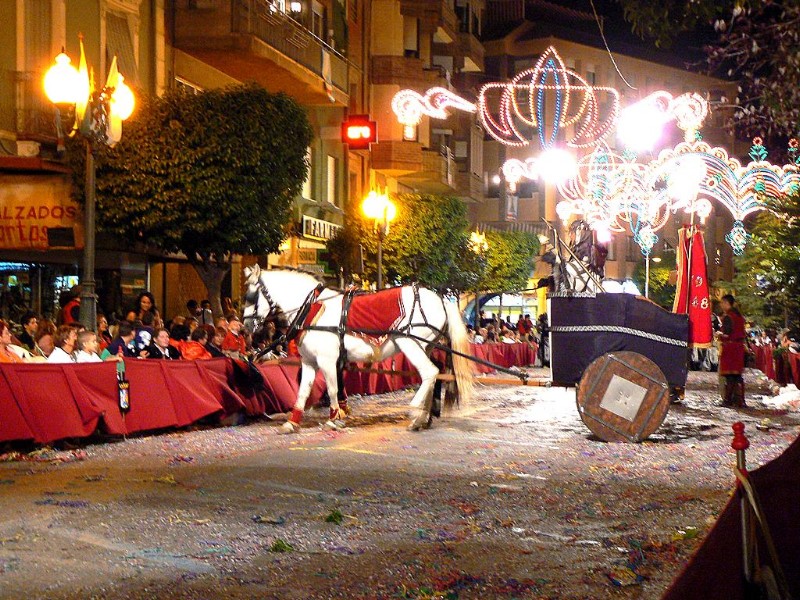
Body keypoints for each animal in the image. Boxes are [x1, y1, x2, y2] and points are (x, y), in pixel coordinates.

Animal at [242, 265, 474, 433]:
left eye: (251, 296)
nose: (245, 326)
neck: (312, 308)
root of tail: (441, 299)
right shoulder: (309, 361)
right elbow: (303, 392)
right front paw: (292, 422)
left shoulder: (327, 360)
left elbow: (332, 389)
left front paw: (334, 418)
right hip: (425, 345)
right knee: (436, 373)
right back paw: (425, 416)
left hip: (409, 343)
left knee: (430, 372)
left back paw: (416, 411)